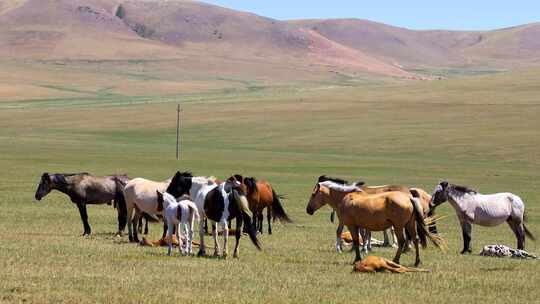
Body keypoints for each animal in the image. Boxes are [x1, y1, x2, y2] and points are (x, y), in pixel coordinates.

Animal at [304, 180, 442, 266]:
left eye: (313, 194)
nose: (308, 210)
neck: (347, 197)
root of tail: (409, 197)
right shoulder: (360, 225)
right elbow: (363, 238)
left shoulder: (351, 225)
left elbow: (356, 240)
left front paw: (357, 259)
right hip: (410, 224)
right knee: (415, 239)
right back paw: (417, 262)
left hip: (398, 226)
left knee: (402, 241)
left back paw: (396, 260)